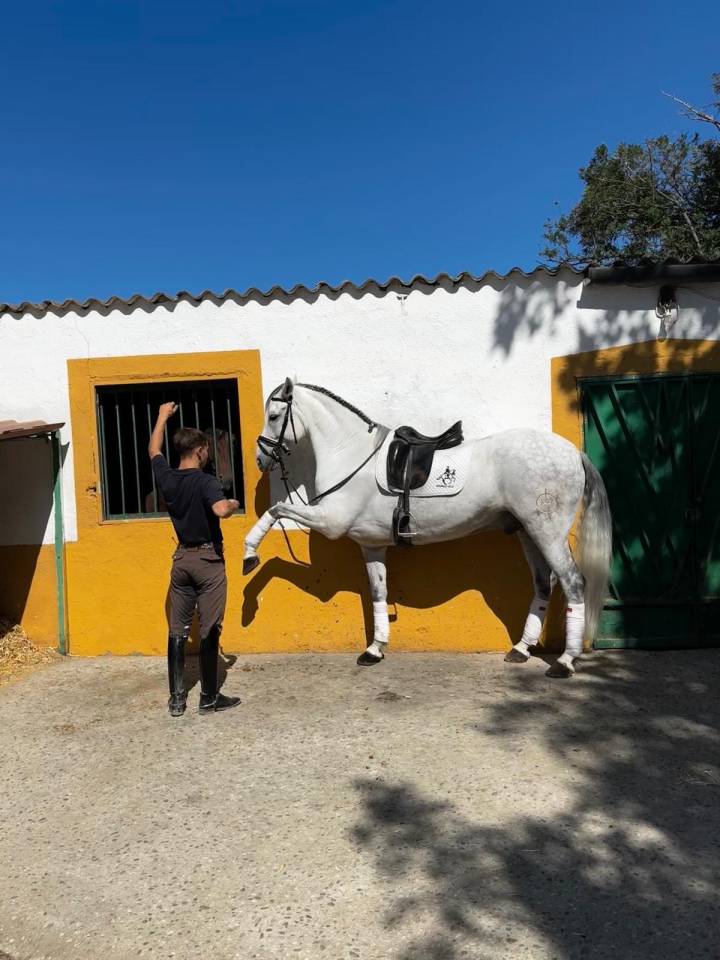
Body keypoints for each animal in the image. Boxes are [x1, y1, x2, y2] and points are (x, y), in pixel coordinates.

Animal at [243, 379, 612, 678]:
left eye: (274, 416)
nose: (261, 459)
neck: (351, 456)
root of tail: (571, 452)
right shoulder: (371, 544)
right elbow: (378, 592)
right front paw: (375, 649)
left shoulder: (330, 521)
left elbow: (276, 510)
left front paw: (249, 556)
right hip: (527, 531)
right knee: (543, 584)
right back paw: (521, 649)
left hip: (547, 532)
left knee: (573, 582)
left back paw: (564, 661)